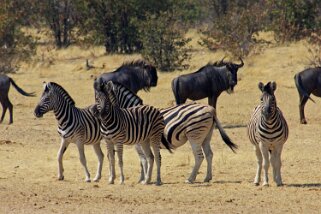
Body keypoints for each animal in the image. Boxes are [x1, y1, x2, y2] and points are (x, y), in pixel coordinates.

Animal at [94, 80, 236, 184]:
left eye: (106, 99)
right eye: (96, 98)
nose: (97, 114)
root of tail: (210, 109)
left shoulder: (138, 143)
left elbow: (143, 160)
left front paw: (144, 178)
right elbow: (146, 159)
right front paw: (145, 178)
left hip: (194, 135)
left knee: (199, 156)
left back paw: (190, 179)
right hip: (206, 136)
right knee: (209, 154)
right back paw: (207, 177)